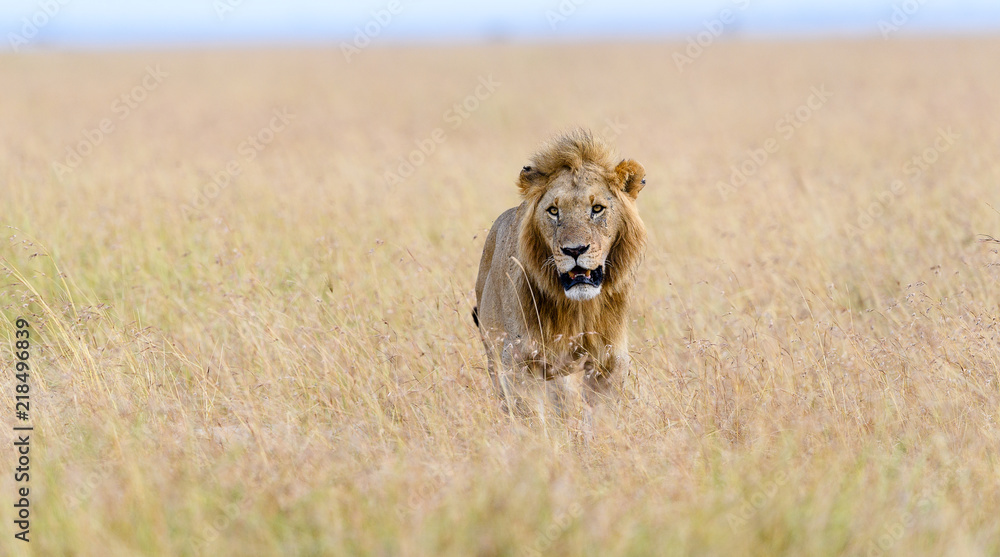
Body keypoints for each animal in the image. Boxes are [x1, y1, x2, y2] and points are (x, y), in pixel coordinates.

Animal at [473, 128, 647, 409]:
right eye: (553, 211)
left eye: (597, 208)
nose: (574, 250)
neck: (578, 310)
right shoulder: (517, 360)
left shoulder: (611, 361)